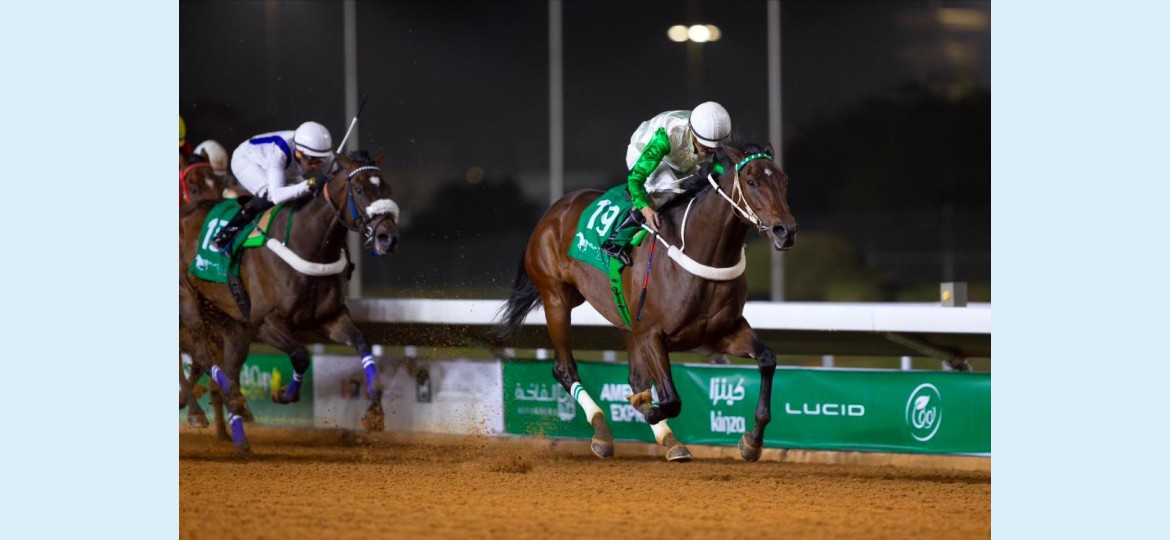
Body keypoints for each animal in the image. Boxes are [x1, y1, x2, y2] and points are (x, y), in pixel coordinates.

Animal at [179, 150, 400, 456]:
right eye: (358, 189)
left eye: (386, 188)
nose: (387, 238)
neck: (308, 244)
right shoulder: (265, 322)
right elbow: (300, 355)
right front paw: (283, 392)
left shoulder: (330, 318)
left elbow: (363, 343)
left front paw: (375, 413)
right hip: (189, 302)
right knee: (200, 353)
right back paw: (207, 410)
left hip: (231, 321)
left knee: (225, 364)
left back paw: (236, 431)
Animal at [495, 142, 797, 462]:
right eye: (751, 182)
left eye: (784, 180)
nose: (786, 231)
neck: (701, 252)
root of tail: (555, 209)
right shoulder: (652, 334)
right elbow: (671, 399)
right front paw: (649, 412)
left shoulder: (722, 332)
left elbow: (767, 359)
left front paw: (752, 441)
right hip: (556, 297)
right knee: (565, 368)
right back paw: (603, 433)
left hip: (625, 321)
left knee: (636, 379)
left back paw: (669, 441)